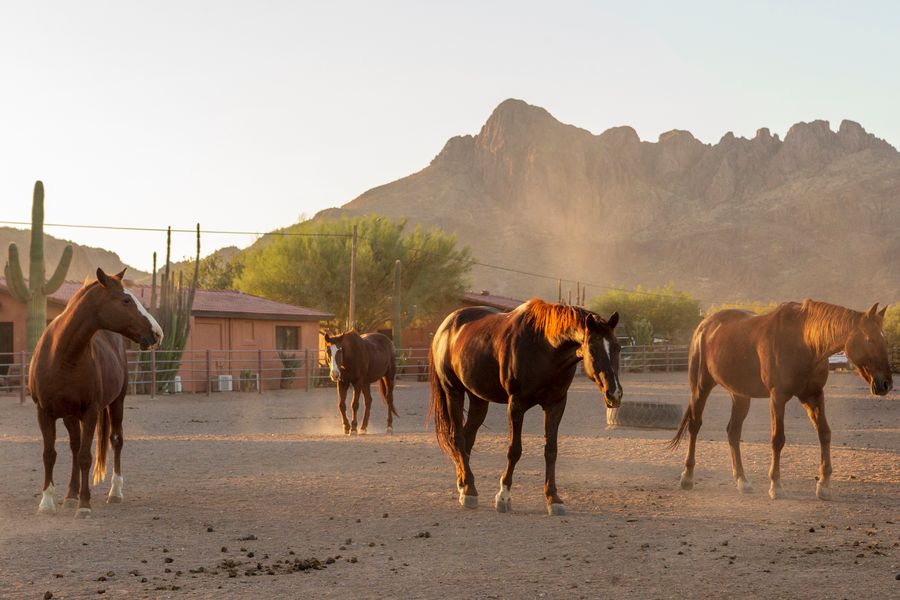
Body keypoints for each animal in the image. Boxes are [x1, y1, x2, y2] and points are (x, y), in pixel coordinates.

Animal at [29, 268, 163, 516]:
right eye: (126, 300)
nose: (157, 333)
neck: (62, 356)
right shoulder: (44, 413)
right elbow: (50, 454)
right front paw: (47, 502)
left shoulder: (90, 412)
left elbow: (85, 456)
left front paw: (84, 504)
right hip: (70, 416)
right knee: (74, 446)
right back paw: (70, 495)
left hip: (117, 402)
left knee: (116, 440)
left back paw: (115, 492)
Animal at [428, 300, 620, 516]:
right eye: (593, 351)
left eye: (618, 348)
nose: (614, 393)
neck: (544, 349)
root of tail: (446, 325)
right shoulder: (516, 404)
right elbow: (514, 450)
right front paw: (503, 496)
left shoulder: (556, 405)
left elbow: (551, 451)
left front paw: (553, 499)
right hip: (453, 391)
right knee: (458, 438)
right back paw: (469, 491)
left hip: (478, 399)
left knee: (468, 438)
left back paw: (464, 485)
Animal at [668, 300, 892, 502]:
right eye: (870, 339)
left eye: (884, 340)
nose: (886, 384)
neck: (805, 342)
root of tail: (704, 326)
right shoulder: (778, 397)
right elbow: (778, 439)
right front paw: (776, 486)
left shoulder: (813, 395)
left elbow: (825, 434)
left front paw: (824, 485)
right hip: (701, 387)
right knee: (695, 426)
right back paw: (687, 478)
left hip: (740, 395)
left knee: (733, 432)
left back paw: (742, 481)